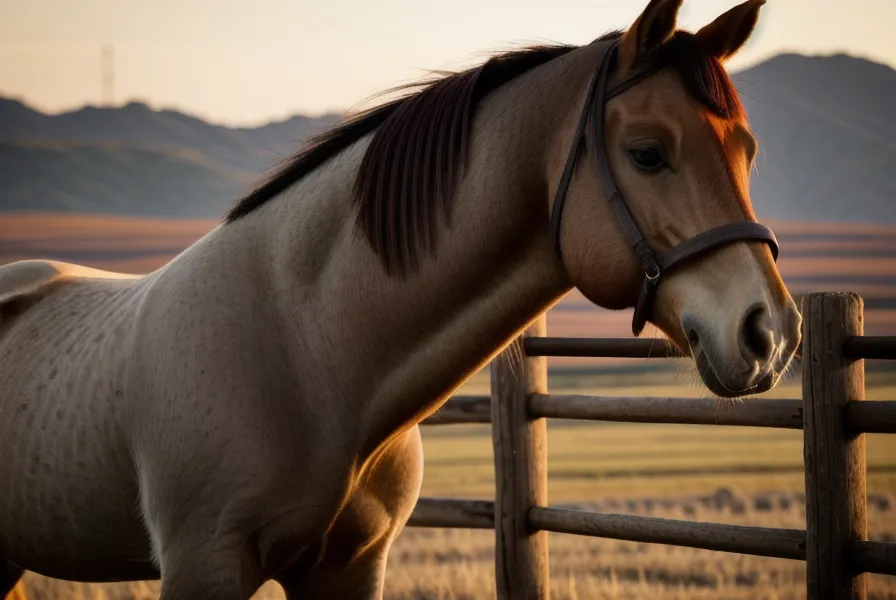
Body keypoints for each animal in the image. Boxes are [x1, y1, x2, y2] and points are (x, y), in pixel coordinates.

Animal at [0, 0, 801, 597]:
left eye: (750, 153)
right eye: (647, 153)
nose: (770, 335)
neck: (308, 351)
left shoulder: (351, 568)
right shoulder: (205, 566)